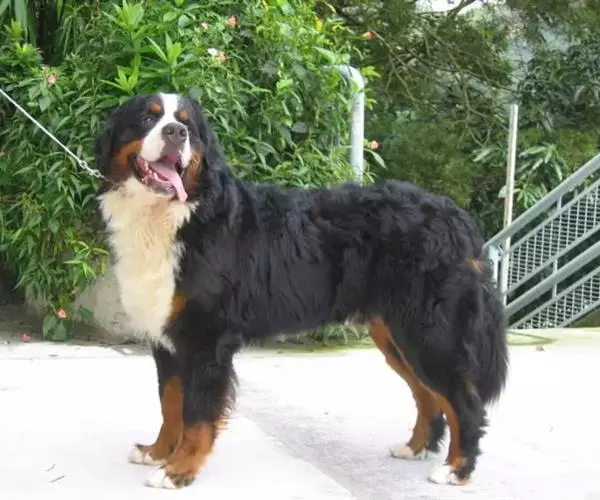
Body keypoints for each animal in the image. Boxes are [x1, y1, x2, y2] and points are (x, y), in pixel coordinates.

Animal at [94, 92, 509, 489]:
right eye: (147, 117)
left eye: (188, 126)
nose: (175, 134)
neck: (176, 215)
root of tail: (455, 216)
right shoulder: (167, 337)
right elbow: (170, 403)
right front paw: (158, 451)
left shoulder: (206, 340)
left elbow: (196, 416)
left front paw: (179, 471)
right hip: (396, 336)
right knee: (429, 398)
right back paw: (415, 447)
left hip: (428, 335)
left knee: (465, 403)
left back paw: (456, 469)